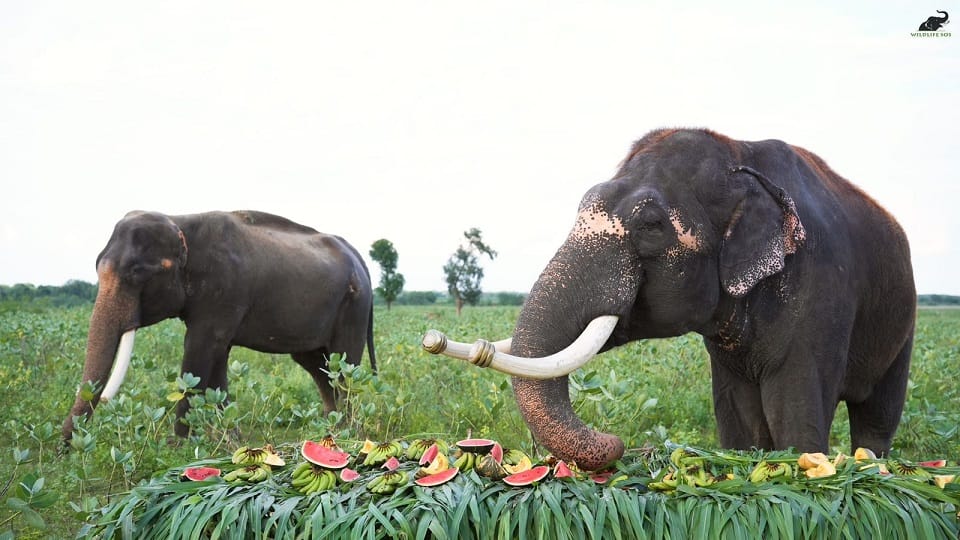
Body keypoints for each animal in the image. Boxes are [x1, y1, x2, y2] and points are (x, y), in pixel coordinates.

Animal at [62, 210, 376, 441]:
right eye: (97, 265)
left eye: (137, 272)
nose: (65, 449)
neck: (180, 221)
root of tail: (358, 256)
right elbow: (217, 354)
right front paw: (229, 438)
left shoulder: (223, 291)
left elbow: (199, 348)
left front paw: (181, 444)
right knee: (315, 363)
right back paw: (331, 426)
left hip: (354, 306)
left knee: (344, 362)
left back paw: (347, 430)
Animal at [424, 128, 915, 471]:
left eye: (651, 226)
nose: (617, 442)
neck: (740, 156)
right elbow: (738, 419)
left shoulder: (819, 291)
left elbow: (796, 413)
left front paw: (805, 463)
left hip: (904, 321)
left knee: (877, 418)